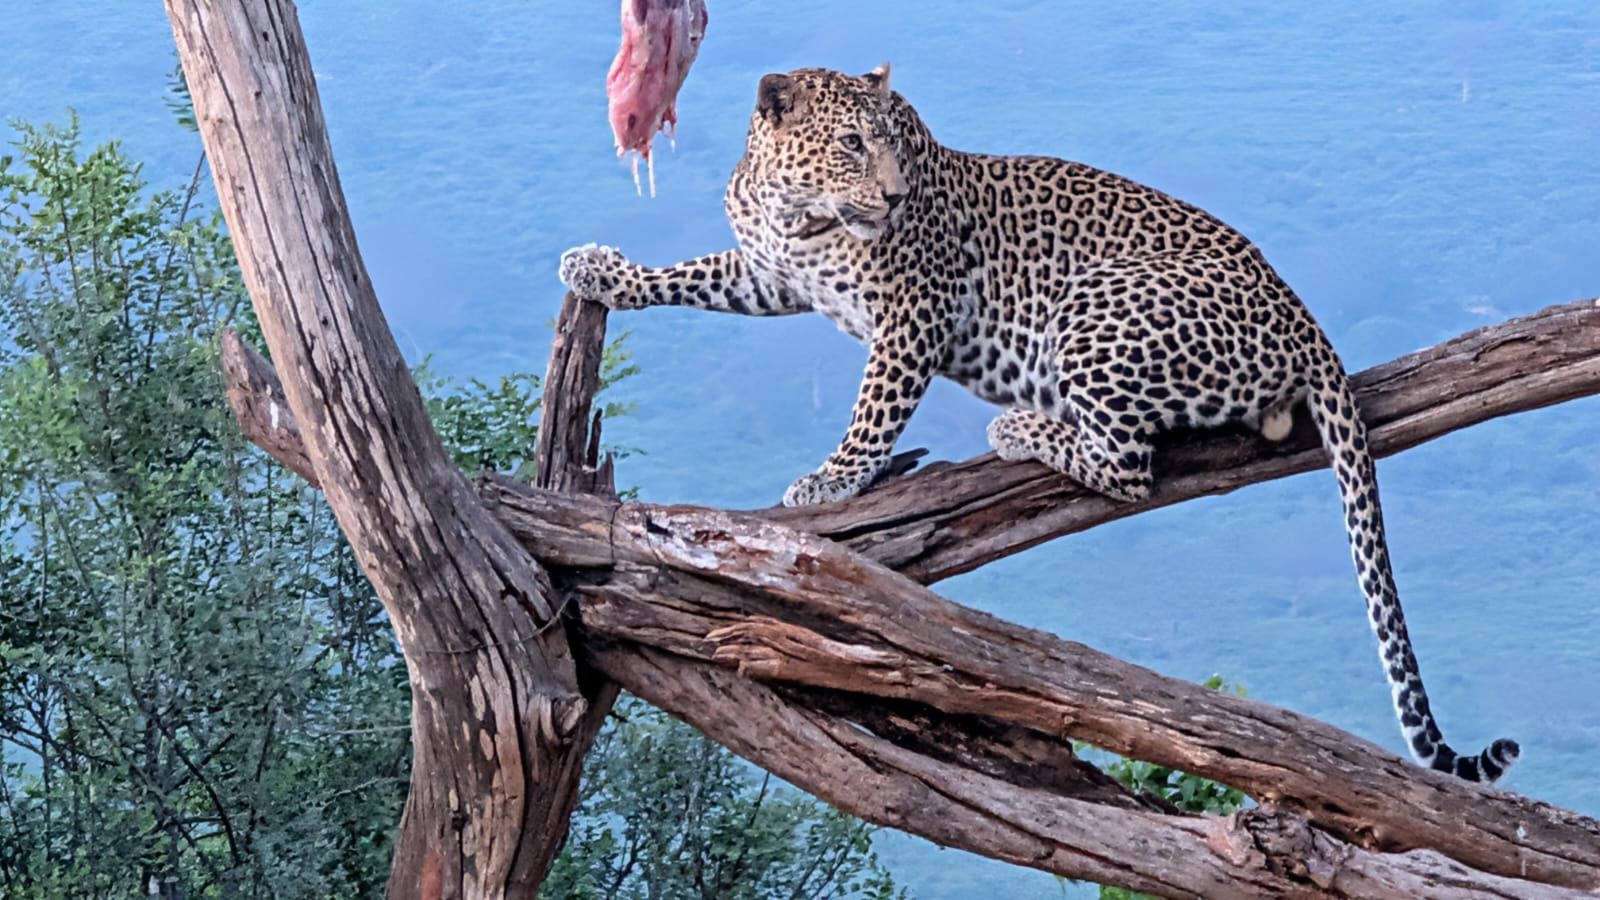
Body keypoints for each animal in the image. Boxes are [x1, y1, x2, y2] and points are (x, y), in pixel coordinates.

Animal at [558, 63, 1519, 783]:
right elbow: (692, 273)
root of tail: (1305, 318)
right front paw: (600, 269)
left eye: (899, 143)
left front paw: (833, 479)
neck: (794, 211)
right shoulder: (769, 273)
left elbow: (873, 409)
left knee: (1130, 463)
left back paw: (1020, 428)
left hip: (1096, 304)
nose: (895, 196)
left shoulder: (914, 314)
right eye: (852, 142)